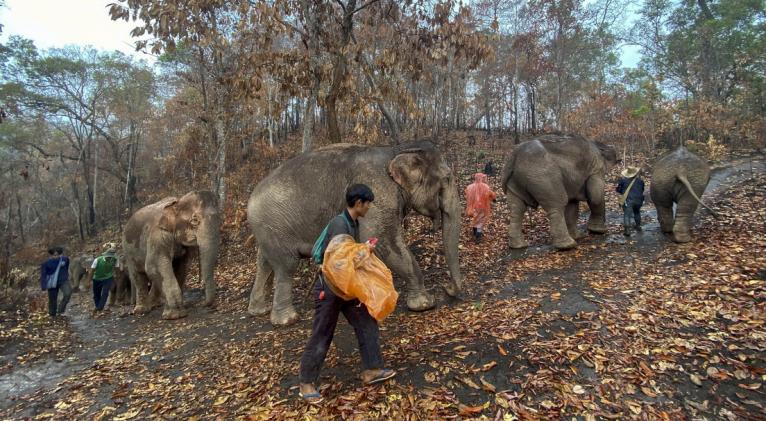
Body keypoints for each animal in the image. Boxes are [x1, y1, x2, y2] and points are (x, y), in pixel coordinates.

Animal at [121, 190, 220, 318]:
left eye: (219, 217)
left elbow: (181, 268)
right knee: (138, 275)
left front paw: (177, 310)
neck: (176, 203)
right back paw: (141, 310)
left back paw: (155, 304)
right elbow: (154, 266)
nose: (203, 304)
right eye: (194, 221)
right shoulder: (157, 236)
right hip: (128, 250)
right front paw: (175, 315)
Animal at [248, 140, 462, 324]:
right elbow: (384, 241)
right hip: (275, 227)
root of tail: (249, 203)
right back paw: (287, 320)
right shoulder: (378, 195)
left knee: (264, 263)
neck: (396, 150)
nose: (448, 288)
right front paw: (425, 304)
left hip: (268, 231)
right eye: (447, 178)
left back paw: (259, 310)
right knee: (286, 266)